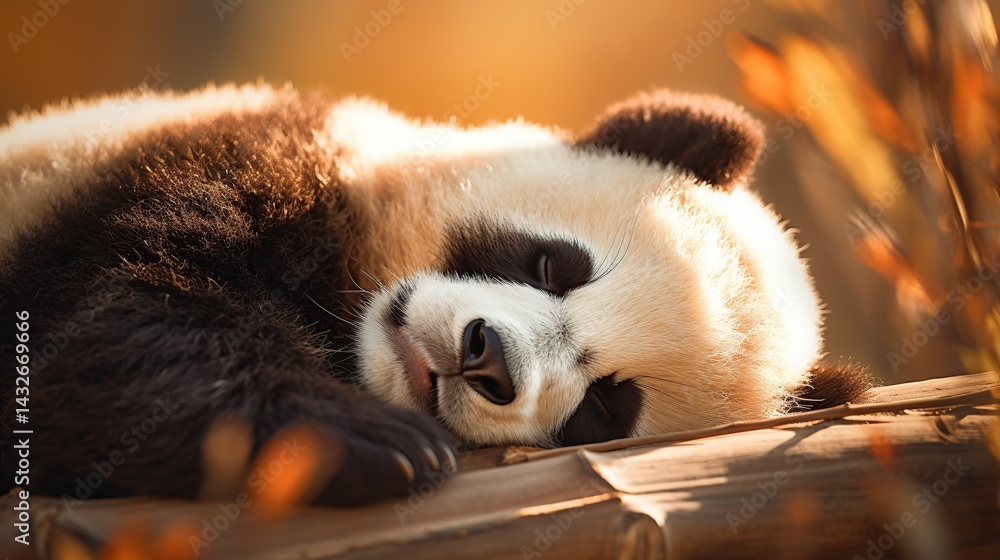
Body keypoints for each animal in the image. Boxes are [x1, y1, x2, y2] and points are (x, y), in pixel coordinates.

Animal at [0, 84, 871, 506]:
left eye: (605, 406)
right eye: (552, 265)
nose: (486, 361)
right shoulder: (233, 157)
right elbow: (117, 322)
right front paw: (362, 439)